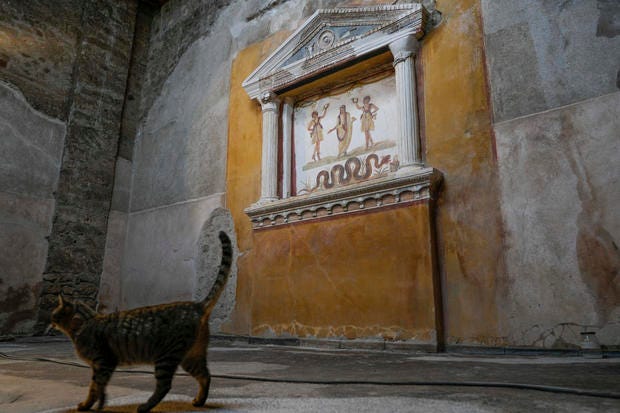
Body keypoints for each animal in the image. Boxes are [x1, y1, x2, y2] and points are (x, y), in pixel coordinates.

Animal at [50, 230, 234, 410]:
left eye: (54, 314)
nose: (50, 320)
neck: (83, 324)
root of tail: (197, 305)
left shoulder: (104, 363)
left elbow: (95, 388)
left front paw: (90, 405)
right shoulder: (101, 366)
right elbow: (99, 389)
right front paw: (97, 404)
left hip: (166, 357)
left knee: (165, 385)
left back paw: (145, 406)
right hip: (191, 356)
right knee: (206, 376)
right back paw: (199, 401)